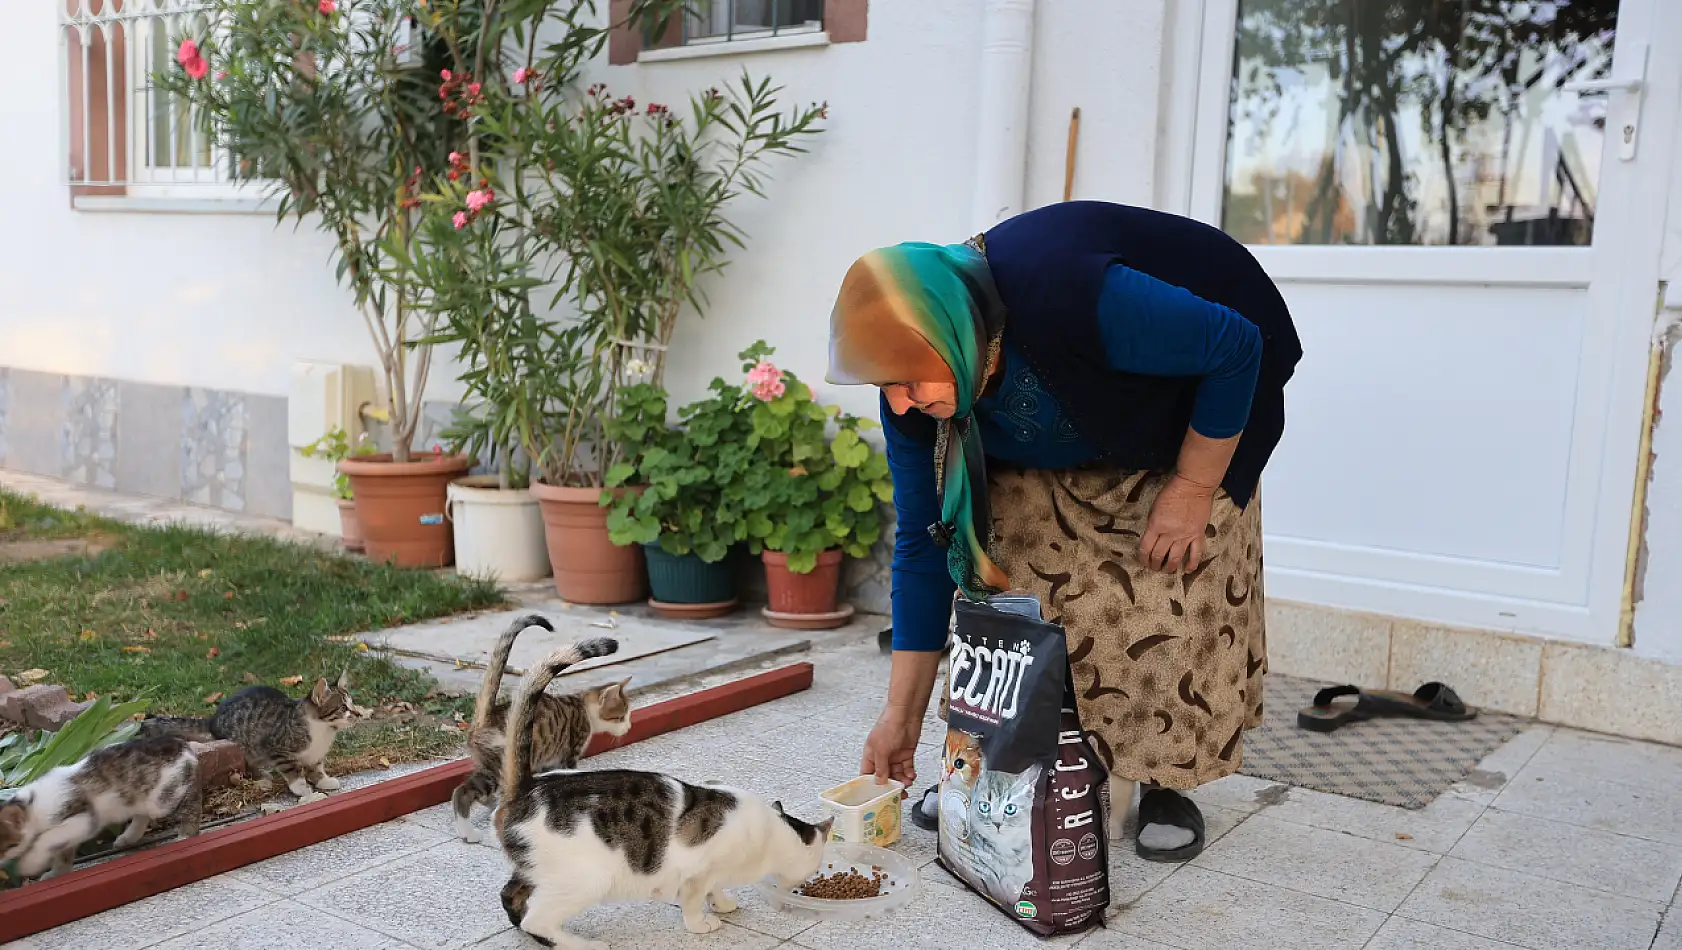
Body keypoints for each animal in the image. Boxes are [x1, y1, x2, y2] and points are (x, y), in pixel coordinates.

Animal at [0, 729, 201, 881]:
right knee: (142, 813)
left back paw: (186, 833)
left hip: (163, 798)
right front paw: (56, 873)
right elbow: (62, 852)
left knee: (192, 798)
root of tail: (182, 743)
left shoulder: (82, 817)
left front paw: (28, 863)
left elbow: (47, 839)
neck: (32, 806)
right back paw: (129, 837)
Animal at [140, 669, 358, 796]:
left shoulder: (316, 754)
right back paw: (264, 777)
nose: (357, 713)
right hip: (246, 747)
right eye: (343, 708)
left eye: (352, 703)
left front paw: (323, 780)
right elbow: (291, 769)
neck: (323, 730)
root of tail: (213, 719)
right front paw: (301, 787)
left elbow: (316, 766)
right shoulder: (275, 747)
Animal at [447, 612, 632, 840]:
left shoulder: (549, 761)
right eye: (621, 717)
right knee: (462, 792)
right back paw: (469, 832)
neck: (583, 707)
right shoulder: (570, 753)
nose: (628, 727)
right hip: (496, 768)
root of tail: (486, 717)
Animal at [491, 642, 834, 941]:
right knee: (538, 920)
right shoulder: (698, 873)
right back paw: (585, 944)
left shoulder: (714, 873)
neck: (772, 832)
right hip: (586, 879)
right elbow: (694, 900)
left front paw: (723, 904)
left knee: (511, 896)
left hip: (535, 869)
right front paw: (701, 924)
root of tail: (527, 786)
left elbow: (716, 889)